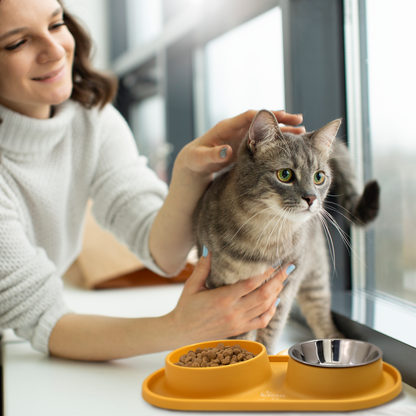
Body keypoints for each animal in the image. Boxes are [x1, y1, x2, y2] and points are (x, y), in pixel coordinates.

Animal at [193, 109, 380, 352]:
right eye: (285, 174)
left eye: (319, 177)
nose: (311, 198)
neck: (266, 236)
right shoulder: (227, 296)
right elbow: (240, 336)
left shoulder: (286, 288)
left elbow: (270, 332)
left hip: (315, 277)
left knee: (322, 319)